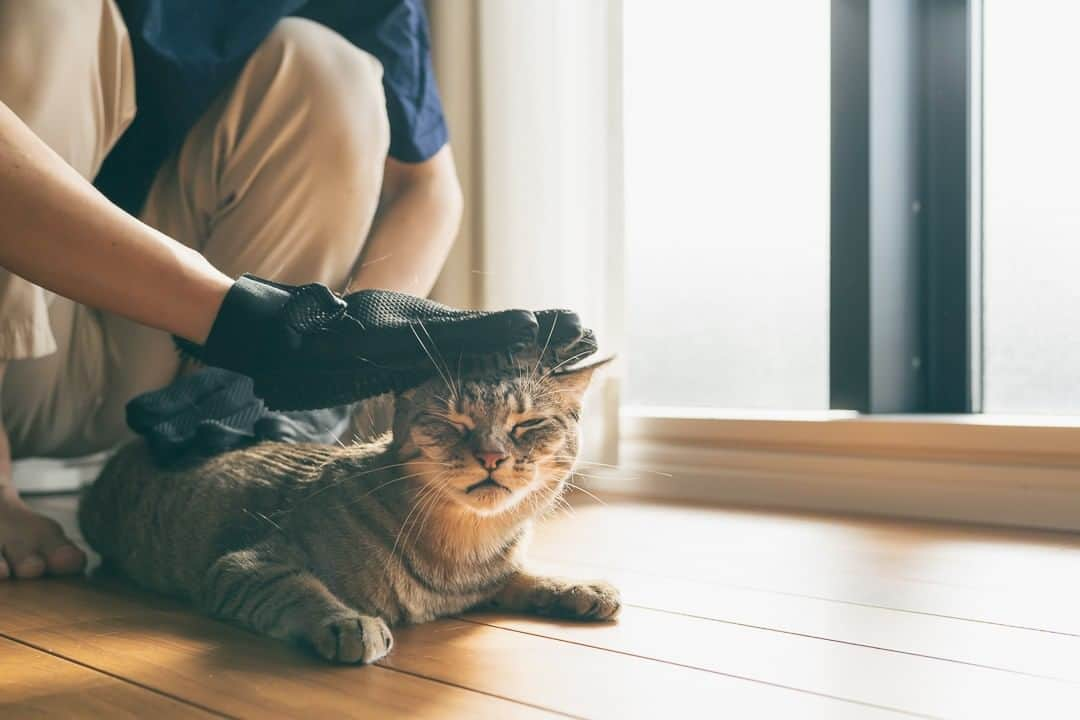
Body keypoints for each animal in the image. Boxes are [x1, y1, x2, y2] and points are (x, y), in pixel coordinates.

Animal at [78, 360, 617, 664]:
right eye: (451, 422)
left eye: (528, 424)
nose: (490, 456)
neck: (462, 549)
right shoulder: (247, 565)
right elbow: (299, 588)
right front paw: (346, 622)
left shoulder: (491, 576)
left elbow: (525, 575)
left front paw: (576, 587)